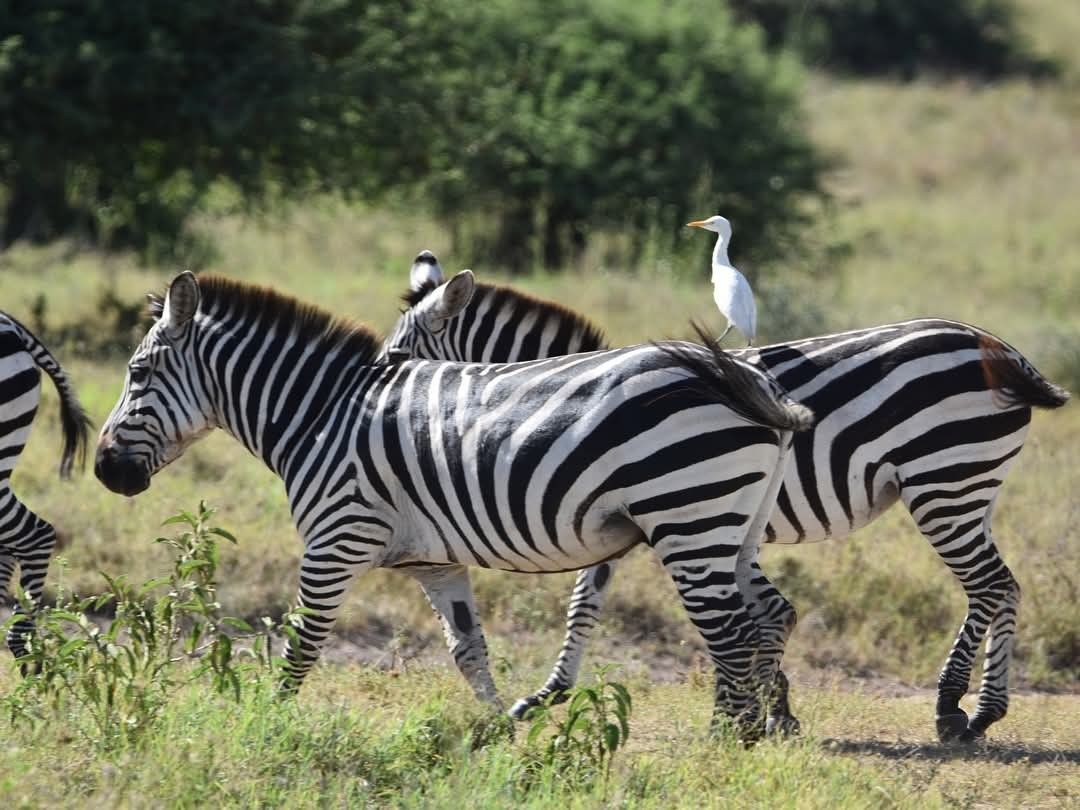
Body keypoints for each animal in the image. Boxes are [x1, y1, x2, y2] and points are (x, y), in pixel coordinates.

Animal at [94, 271, 814, 734]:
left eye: (137, 373)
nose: (103, 471)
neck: (320, 414)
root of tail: (739, 375)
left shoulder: (335, 541)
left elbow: (302, 642)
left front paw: (268, 721)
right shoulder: (433, 562)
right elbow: (469, 649)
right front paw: (500, 735)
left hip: (688, 518)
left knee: (730, 633)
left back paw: (726, 741)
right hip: (731, 527)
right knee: (762, 620)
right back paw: (751, 732)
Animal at [381, 252, 1070, 743]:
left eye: (397, 356)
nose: (380, 400)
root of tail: (998, 347)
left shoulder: (644, 511)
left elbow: (586, 602)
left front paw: (548, 694)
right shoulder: (701, 524)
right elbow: (767, 613)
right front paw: (776, 710)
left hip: (944, 481)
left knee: (990, 585)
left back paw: (959, 708)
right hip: (968, 484)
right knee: (1001, 586)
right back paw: (980, 709)